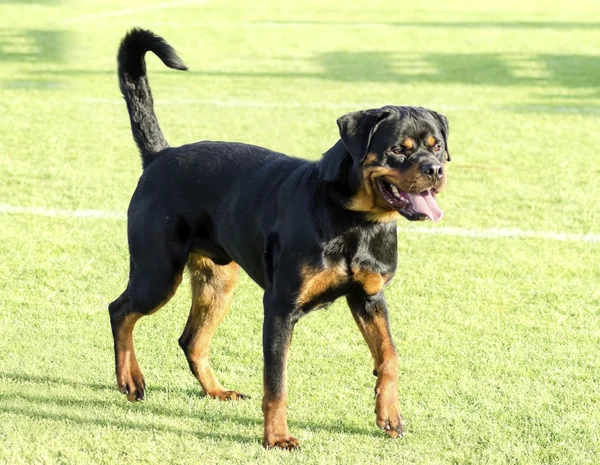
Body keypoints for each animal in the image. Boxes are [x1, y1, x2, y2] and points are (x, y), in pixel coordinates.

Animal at [110, 27, 450, 448]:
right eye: (398, 151)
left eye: (438, 146)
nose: (435, 170)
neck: (354, 220)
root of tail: (160, 155)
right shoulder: (280, 308)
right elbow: (277, 382)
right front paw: (277, 437)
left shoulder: (369, 297)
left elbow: (389, 356)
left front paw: (389, 416)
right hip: (157, 274)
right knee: (120, 310)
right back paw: (130, 380)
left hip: (218, 282)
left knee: (190, 340)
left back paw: (216, 391)